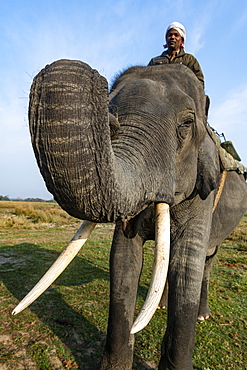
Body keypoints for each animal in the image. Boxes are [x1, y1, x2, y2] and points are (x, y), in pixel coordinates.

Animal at [12, 59, 246, 368]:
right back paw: (161, 304)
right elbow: (124, 258)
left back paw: (202, 314)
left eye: (186, 124)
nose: (110, 121)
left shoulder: (202, 191)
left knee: (207, 260)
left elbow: (186, 264)